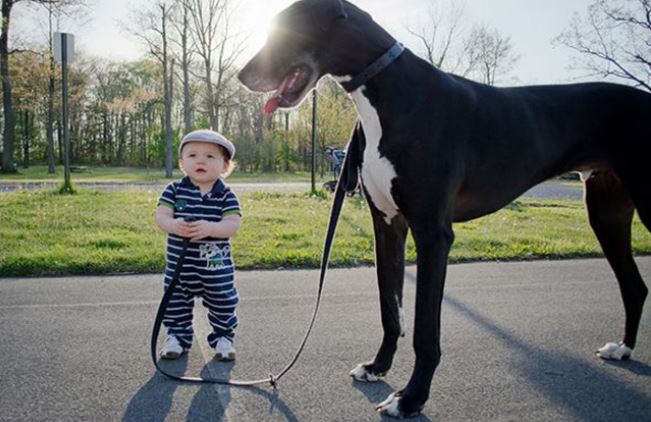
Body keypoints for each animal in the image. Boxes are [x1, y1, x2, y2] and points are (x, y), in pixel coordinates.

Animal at [239, 0, 651, 416]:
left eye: (286, 29)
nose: (242, 75)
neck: (389, 93)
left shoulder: (432, 233)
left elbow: (424, 330)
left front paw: (411, 397)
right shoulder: (387, 225)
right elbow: (390, 309)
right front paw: (378, 366)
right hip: (605, 212)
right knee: (634, 286)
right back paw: (623, 348)